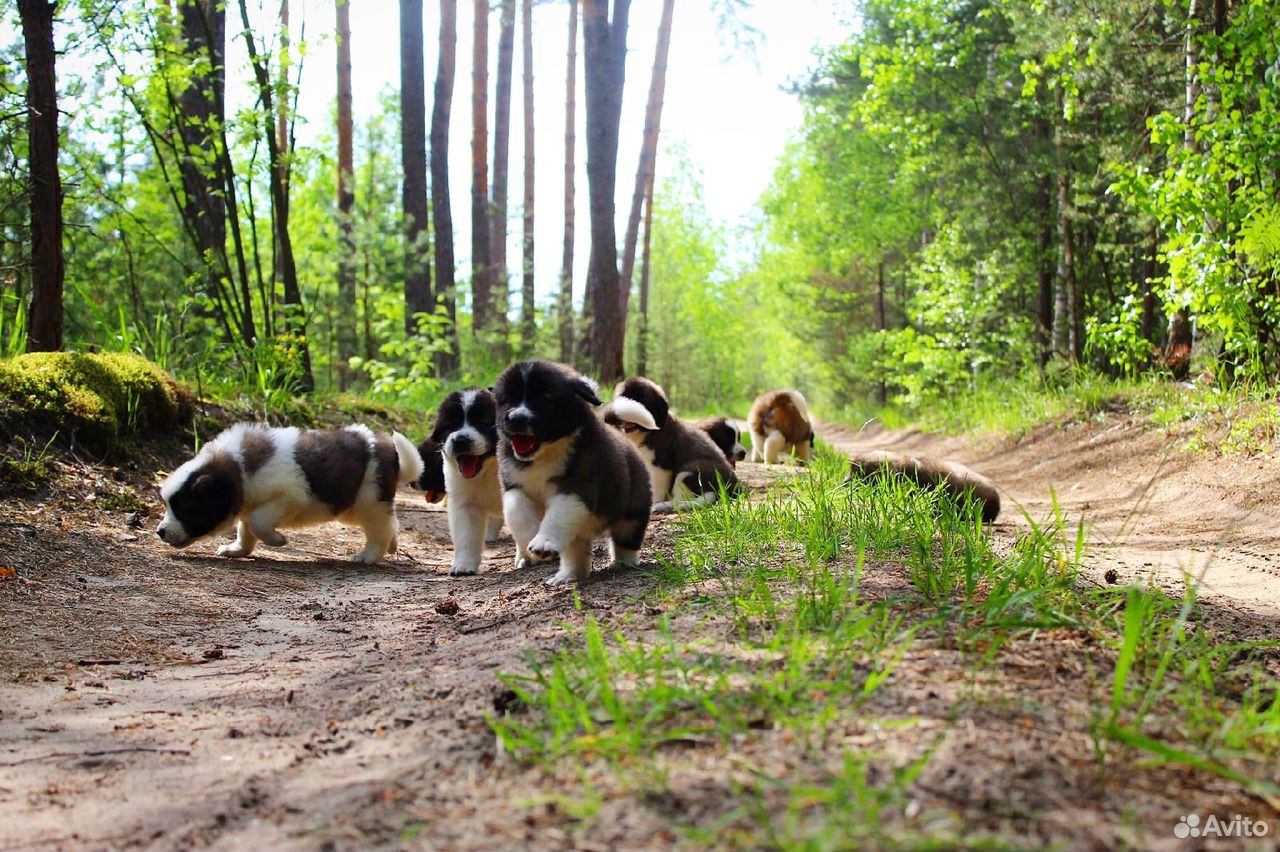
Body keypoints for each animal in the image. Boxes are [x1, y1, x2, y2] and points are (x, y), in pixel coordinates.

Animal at [157, 419, 422, 562]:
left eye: (185, 508)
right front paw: (237, 549)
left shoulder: (290, 495)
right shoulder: (249, 502)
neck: (238, 467)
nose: (160, 531)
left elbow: (258, 521)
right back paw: (392, 546)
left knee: (380, 528)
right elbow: (246, 528)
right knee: (390, 524)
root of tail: (390, 449)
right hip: (353, 506)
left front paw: (277, 540)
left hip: (369, 499)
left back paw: (369, 555)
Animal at [432, 386, 506, 573]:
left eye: (483, 423)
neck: (489, 468)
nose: (460, 440)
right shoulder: (465, 503)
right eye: (450, 426)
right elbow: (466, 535)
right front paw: (464, 566)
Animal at [488, 358, 650, 583]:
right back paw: (567, 576)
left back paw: (624, 564)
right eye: (507, 399)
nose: (515, 419)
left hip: (633, 507)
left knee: (626, 537)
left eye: (544, 398)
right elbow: (517, 513)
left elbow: (556, 516)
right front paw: (531, 540)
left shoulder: (575, 487)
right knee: (575, 550)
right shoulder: (514, 485)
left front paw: (543, 542)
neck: (545, 453)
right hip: (578, 530)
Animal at [604, 376, 747, 511]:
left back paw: (662, 506)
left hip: (688, 471)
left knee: (680, 500)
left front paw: (653, 502)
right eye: (623, 397)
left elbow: (657, 488)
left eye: (643, 400)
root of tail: (735, 489)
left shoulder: (661, 467)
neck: (644, 433)